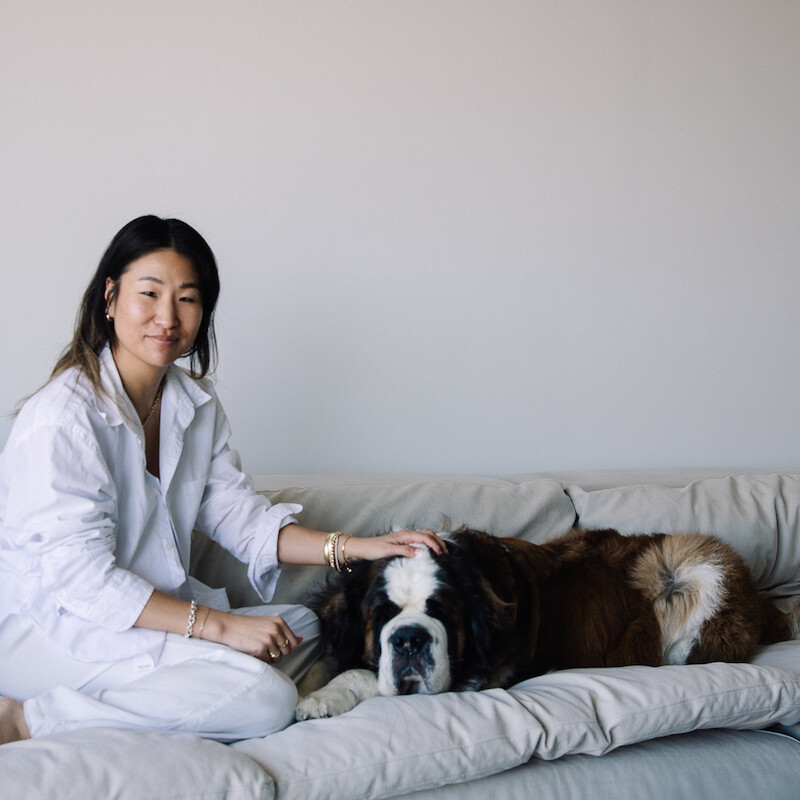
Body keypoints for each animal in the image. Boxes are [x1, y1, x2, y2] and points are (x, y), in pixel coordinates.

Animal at [296, 528, 800, 720]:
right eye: (380, 616)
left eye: (440, 612)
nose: (408, 640)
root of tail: (760, 597)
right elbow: (329, 661)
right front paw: (307, 688)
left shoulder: (476, 676)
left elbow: (360, 674)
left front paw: (321, 699)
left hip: (688, 572)